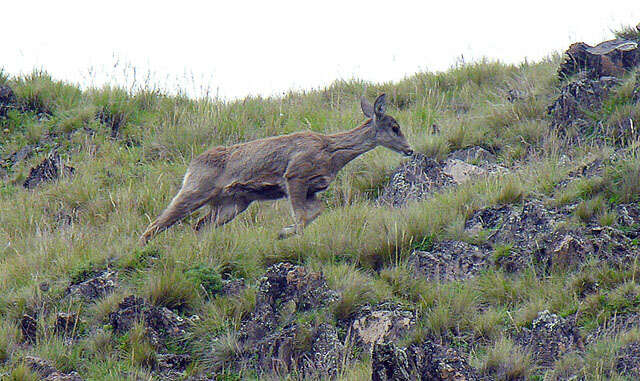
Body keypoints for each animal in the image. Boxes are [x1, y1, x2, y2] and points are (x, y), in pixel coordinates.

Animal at [138, 93, 412, 245]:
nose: (409, 149)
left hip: (233, 204)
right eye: (395, 127)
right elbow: (301, 218)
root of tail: (192, 165)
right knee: (157, 224)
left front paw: (284, 232)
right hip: (196, 189)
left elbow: (316, 212)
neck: (330, 152)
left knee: (199, 225)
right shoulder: (295, 175)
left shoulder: (312, 189)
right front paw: (284, 233)